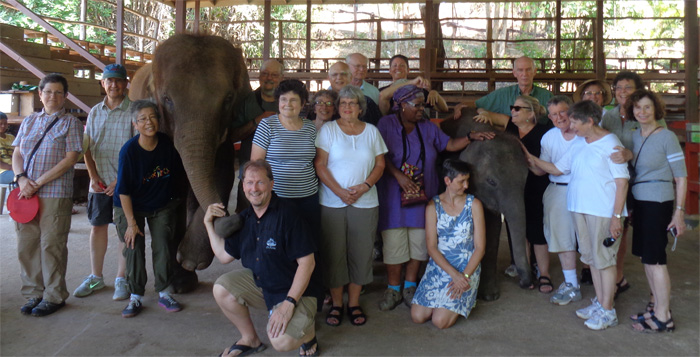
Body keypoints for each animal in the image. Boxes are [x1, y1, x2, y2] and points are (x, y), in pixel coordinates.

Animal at [130, 34, 253, 290]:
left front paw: (190, 261)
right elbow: (172, 191)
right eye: (167, 99)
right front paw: (180, 279)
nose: (231, 216)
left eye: (228, 99)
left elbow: (221, 174)